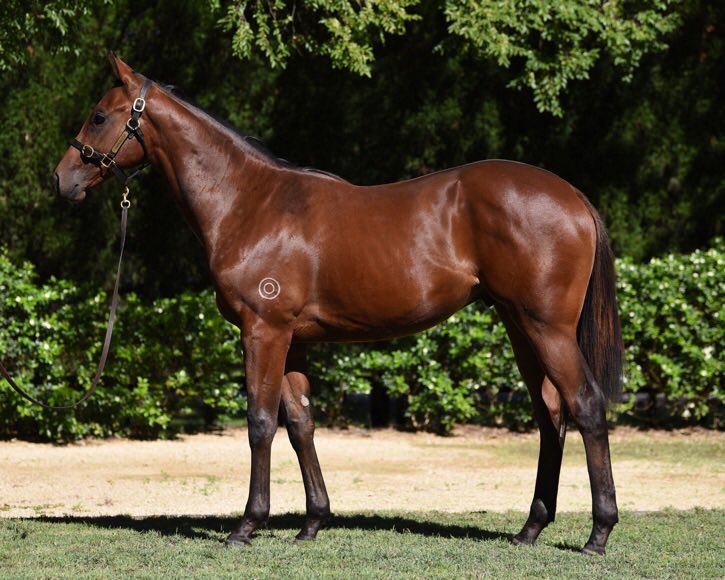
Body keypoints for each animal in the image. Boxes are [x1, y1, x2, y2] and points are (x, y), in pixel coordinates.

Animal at [53, 54, 623, 555]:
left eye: (99, 114)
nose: (61, 180)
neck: (248, 203)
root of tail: (574, 197)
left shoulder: (262, 331)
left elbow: (260, 422)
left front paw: (246, 526)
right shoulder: (293, 341)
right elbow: (301, 424)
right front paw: (312, 523)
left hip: (547, 328)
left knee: (586, 405)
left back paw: (598, 533)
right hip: (518, 325)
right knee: (551, 413)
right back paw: (530, 529)